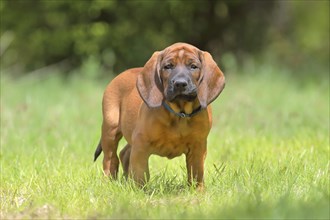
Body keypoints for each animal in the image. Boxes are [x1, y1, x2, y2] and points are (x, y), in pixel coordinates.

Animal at [94, 42, 226, 187]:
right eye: (167, 66)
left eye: (193, 66)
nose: (180, 84)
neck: (180, 113)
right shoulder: (141, 144)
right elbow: (141, 173)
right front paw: (139, 190)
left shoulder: (198, 147)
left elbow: (196, 173)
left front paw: (198, 190)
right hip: (110, 130)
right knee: (110, 159)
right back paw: (108, 182)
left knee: (124, 153)